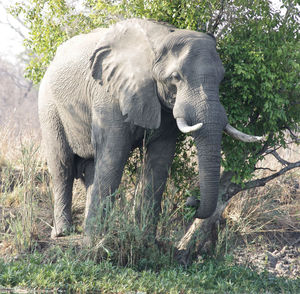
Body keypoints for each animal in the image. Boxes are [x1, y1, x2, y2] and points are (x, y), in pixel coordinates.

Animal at [38, 17, 262, 239]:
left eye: (221, 78)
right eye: (175, 77)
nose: (191, 201)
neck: (160, 39)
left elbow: (160, 159)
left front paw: (145, 239)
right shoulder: (109, 94)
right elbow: (114, 153)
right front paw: (95, 240)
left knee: (91, 167)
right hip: (49, 107)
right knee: (62, 166)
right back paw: (63, 232)